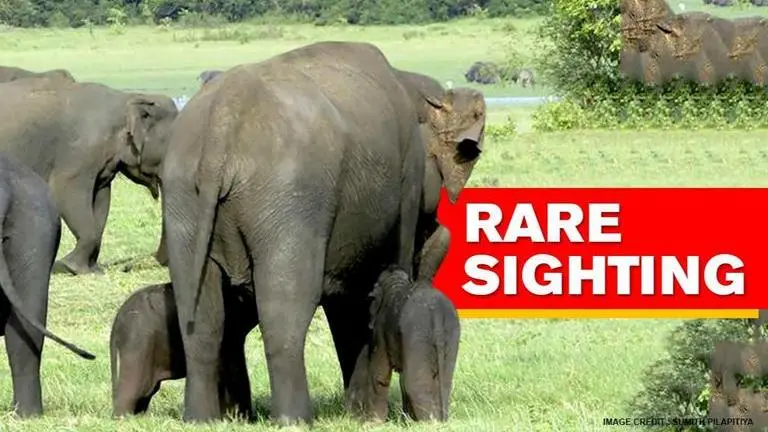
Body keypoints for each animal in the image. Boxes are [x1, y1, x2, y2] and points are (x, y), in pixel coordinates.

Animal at [0, 77, 178, 275]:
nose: (129, 267)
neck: (127, 99)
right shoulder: (79, 152)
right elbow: (65, 192)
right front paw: (66, 266)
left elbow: (102, 199)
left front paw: (92, 269)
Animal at [345, 265, 460, 423]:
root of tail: (435, 313)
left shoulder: (380, 330)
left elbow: (380, 375)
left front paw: (374, 423)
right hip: (451, 332)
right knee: (445, 380)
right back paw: (439, 420)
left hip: (416, 334)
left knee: (415, 384)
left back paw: (430, 423)